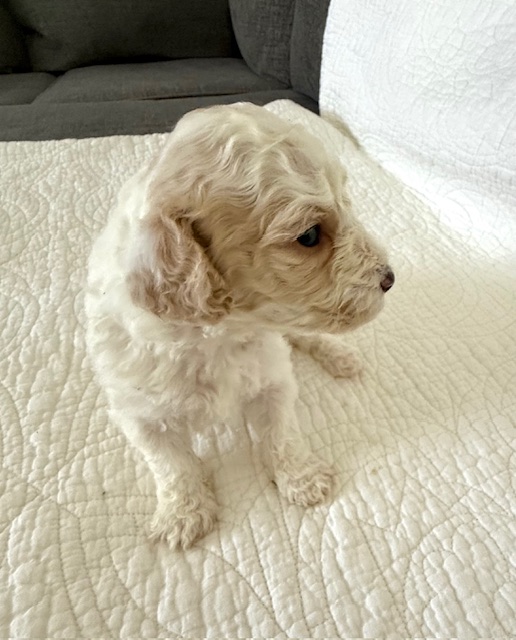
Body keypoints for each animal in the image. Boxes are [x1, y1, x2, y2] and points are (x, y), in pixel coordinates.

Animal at [85, 103, 394, 550]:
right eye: (310, 235)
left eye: (347, 202)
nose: (389, 278)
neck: (221, 332)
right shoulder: (138, 411)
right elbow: (172, 463)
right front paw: (184, 513)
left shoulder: (274, 379)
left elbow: (280, 435)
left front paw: (301, 479)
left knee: (305, 334)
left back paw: (340, 356)